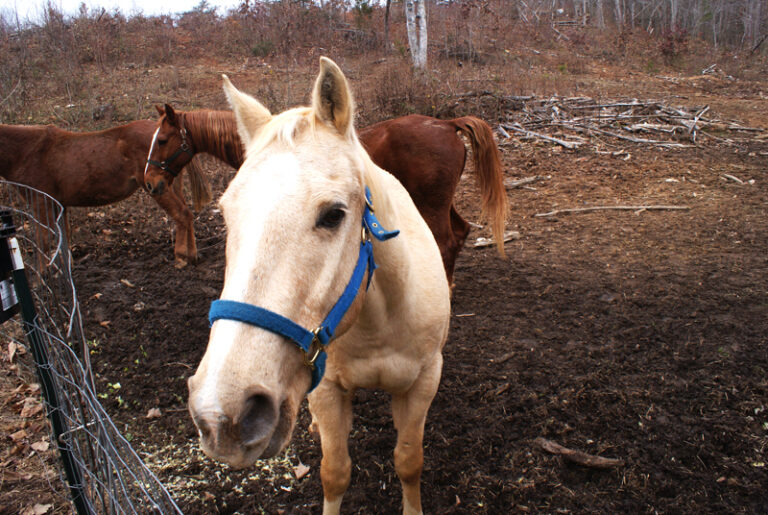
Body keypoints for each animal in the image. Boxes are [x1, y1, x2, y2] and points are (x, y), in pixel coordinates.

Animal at [0, 120, 210, 266]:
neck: (28, 150)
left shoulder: (40, 204)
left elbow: (42, 242)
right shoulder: (61, 205)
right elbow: (63, 240)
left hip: (158, 188)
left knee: (182, 215)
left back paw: (182, 257)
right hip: (169, 186)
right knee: (186, 215)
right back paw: (192, 256)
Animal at [144, 106, 508, 282]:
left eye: (162, 139)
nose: (150, 182)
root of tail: (448, 124)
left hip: (433, 205)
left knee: (446, 241)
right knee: (460, 233)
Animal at [187, 57, 450, 515]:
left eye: (333, 214)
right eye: (225, 212)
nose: (224, 415)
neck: (379, 322)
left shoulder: (422, 382)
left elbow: (409, 461)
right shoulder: (326, 391)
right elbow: (335, 472)